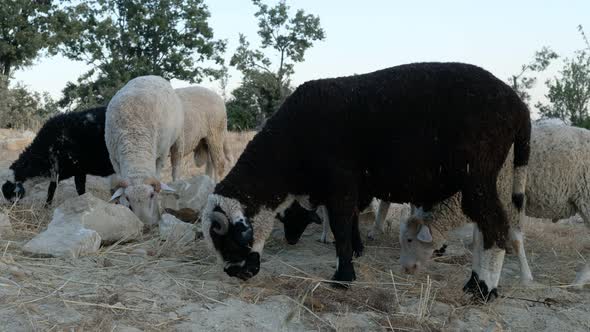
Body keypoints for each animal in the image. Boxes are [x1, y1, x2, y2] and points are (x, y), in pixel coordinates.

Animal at [105, 75, 182, 226]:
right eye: (128, 198)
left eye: (151, 195)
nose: (145, 224)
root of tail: (149, 76)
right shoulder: (114, 159)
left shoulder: (162, 154)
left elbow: (158, 175)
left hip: (175, 141)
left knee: (175, 165)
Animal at [202, 61, 532, 300]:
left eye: (228, 236)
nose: (234, 273)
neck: (289, 147)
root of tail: (519, 107)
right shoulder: (349, 188)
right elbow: (348, 223)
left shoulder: (341, 183)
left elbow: (341, 228)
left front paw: (343, 278)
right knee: (486, 226)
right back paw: (475, 284)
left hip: (478, 174)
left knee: (493, 226)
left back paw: (483, 289)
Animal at [400, 120, 590, 286]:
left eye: (409, 240)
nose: (405, 270)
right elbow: (480, 239)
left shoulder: (508, 199)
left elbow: (515, 240)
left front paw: (526, 278)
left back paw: (578, 282)